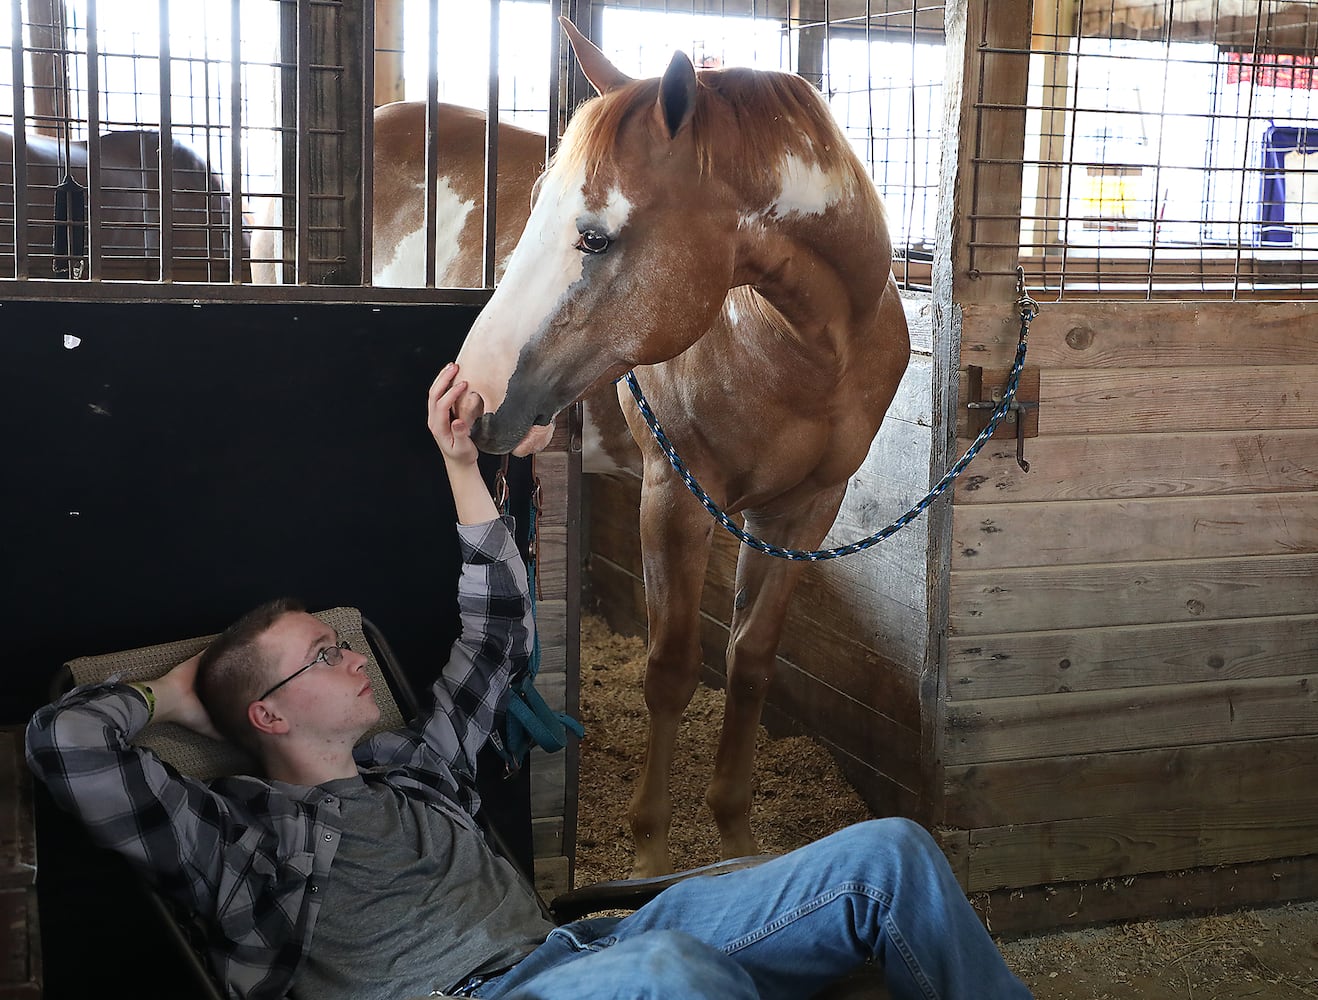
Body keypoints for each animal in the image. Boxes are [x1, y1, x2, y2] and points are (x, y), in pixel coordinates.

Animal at [458, 17, 912, 874]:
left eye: (594, 238)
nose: (470, 397)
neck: (802, 348)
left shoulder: (804, 511)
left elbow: (752, 658)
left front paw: (735, 834)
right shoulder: (674, 497)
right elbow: (671, 669)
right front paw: (651, 855)